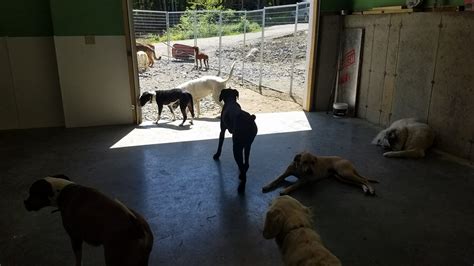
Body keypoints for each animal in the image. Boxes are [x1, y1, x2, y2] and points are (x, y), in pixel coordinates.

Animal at [23, 175, 153, 266]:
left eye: (31, 193)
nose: (24, 202)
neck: (63, 191)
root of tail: (137, 227)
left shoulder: (75, 238)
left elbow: (78, 259)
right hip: (142, 260)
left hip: (114, 258)